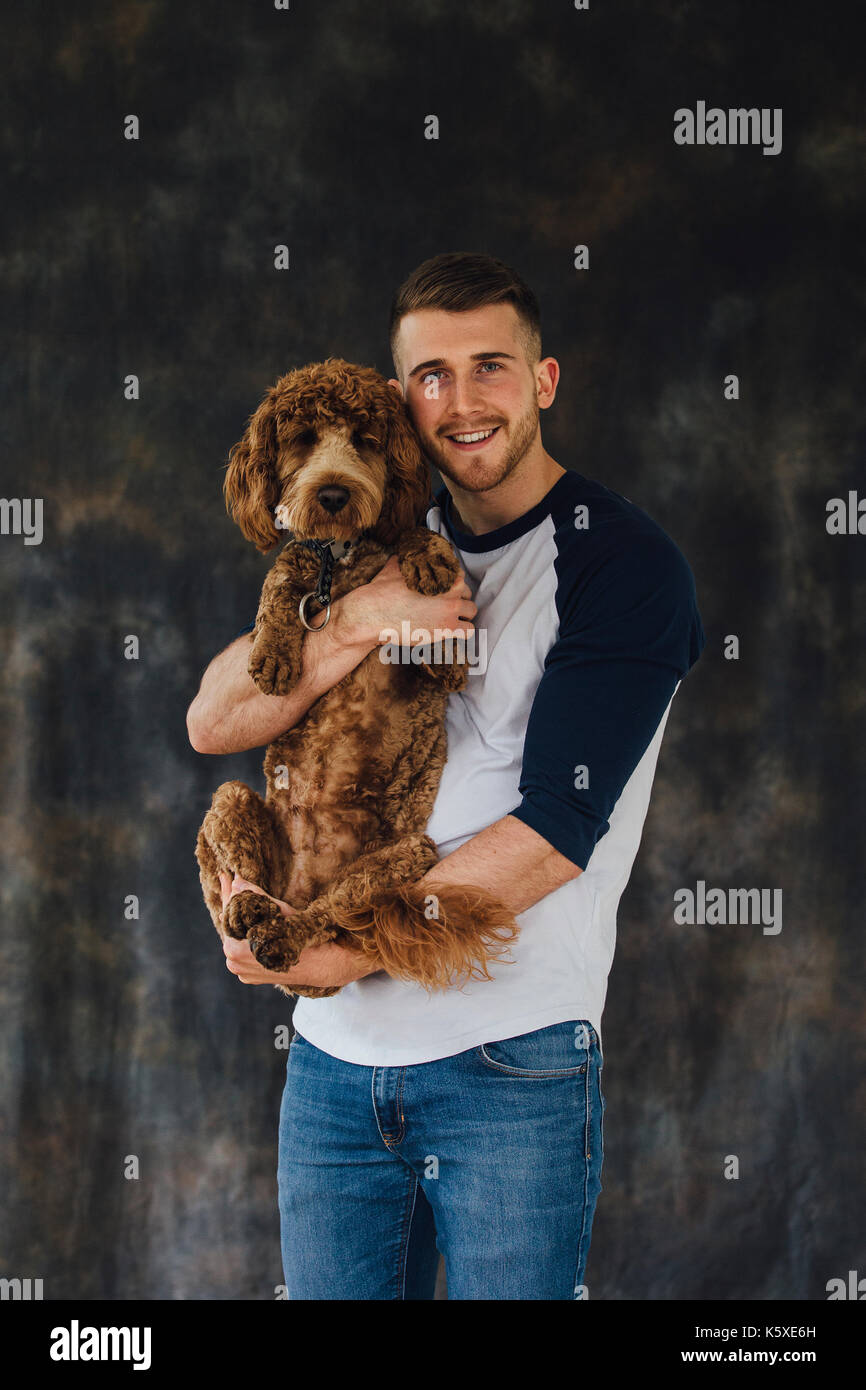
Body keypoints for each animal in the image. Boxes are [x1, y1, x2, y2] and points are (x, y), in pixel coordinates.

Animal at [195, 355, 517, 989]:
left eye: (367, 440)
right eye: (301, 439)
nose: (334, 494)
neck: (341, 556)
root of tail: (299, 887)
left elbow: (416, 533)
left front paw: (428, 573)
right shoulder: (302, 562)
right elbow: (281, 576)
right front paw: (273, 654)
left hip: (404, 858)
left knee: (322, 915)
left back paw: (283, 931)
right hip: (230, 802)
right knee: (238, 891)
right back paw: (251, 908)